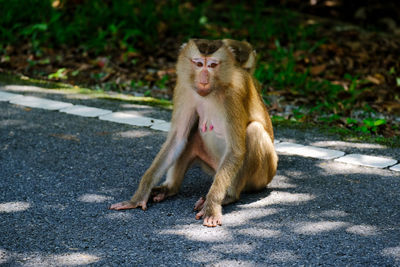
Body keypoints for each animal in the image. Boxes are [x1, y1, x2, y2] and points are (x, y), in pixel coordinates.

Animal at [109, 39, 278, 228]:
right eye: (198, 64)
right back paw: (170, 188)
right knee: (191, 134)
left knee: (254, 130)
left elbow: (236, 150)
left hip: (262, 175)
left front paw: (212, 206)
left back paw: (229, 196)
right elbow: (178, 138)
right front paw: (139, 196)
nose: (203, 79)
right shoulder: (184, 90)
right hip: (212, 166)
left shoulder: (234, 94)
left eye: (212, 65)